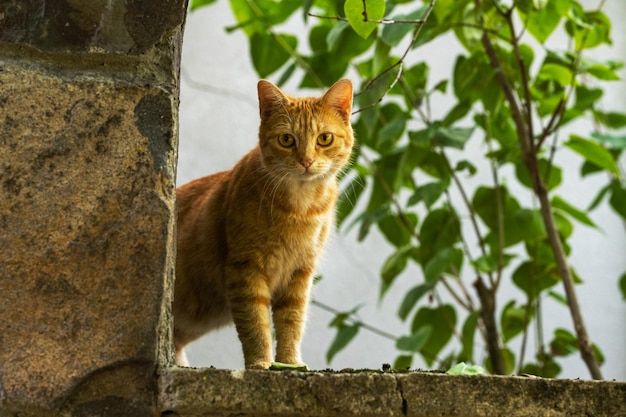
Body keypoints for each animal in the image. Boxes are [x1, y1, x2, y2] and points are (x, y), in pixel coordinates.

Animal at [173, 78, 354, 368]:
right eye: (287, 139)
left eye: (324, 138)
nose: (306, 161)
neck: (300, 208)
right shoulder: (246, 270)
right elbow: (255, 325)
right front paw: (261, 363)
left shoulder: (299, 274)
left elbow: (291, 322)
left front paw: (289, 362)